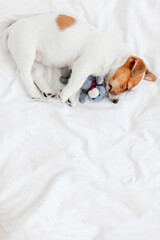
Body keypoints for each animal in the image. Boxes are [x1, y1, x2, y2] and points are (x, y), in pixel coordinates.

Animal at [1, 13, 156, 105]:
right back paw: (33, 92)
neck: (114, 56)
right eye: (126, 87)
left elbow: (76, 83)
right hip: (27, 52)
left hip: (38, 59)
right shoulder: (82, 66)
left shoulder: (79, 69)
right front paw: (65, 95)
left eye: (128, 90)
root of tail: (11, 28)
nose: (116, 102)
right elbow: (76, 83)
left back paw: (47, 90)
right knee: (24, 73)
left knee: (36, 74)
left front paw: (71, 97)